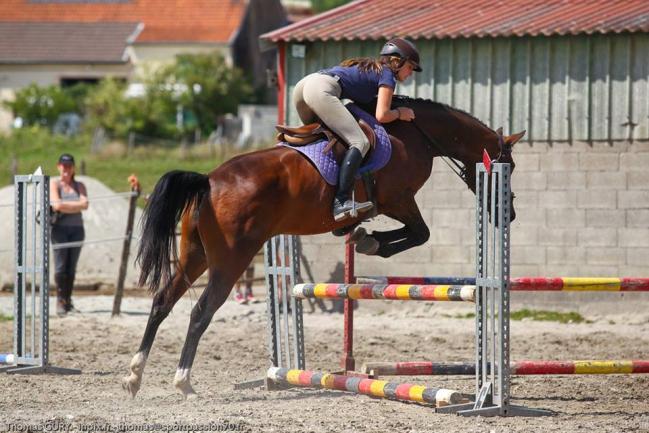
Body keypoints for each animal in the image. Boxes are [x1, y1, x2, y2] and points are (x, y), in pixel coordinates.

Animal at [123, 97, 520, 398]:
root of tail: (208, 180)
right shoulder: (398, 200)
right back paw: (183, 382)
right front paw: (368, 241)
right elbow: (419, 233)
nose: (510, 214)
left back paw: (134, 376)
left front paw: (361, 235)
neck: (416, 134)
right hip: (230, 260)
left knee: (163, 300)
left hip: (196, 255)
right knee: (200, 311)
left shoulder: (395, 203)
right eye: (511, 166)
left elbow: (411, 233)